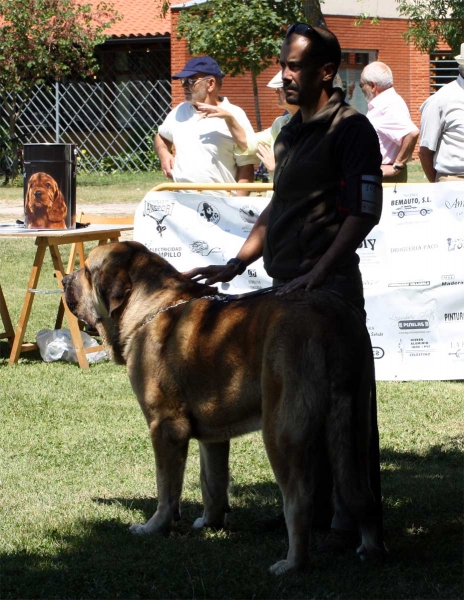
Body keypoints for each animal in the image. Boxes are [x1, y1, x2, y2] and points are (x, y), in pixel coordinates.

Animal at [64, 241, 384, 576]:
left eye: (85, 270)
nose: (64, 280)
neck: (149, 306)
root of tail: (333, 318)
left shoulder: (164, 427)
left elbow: (167, 488)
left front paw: (154, 527)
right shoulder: (213, 436)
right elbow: (212, 481)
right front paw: (211, 522)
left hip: (281, 432)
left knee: (299, 501)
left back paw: (292, 563)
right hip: (356, 422)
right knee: (362, 493)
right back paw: (371, 549)